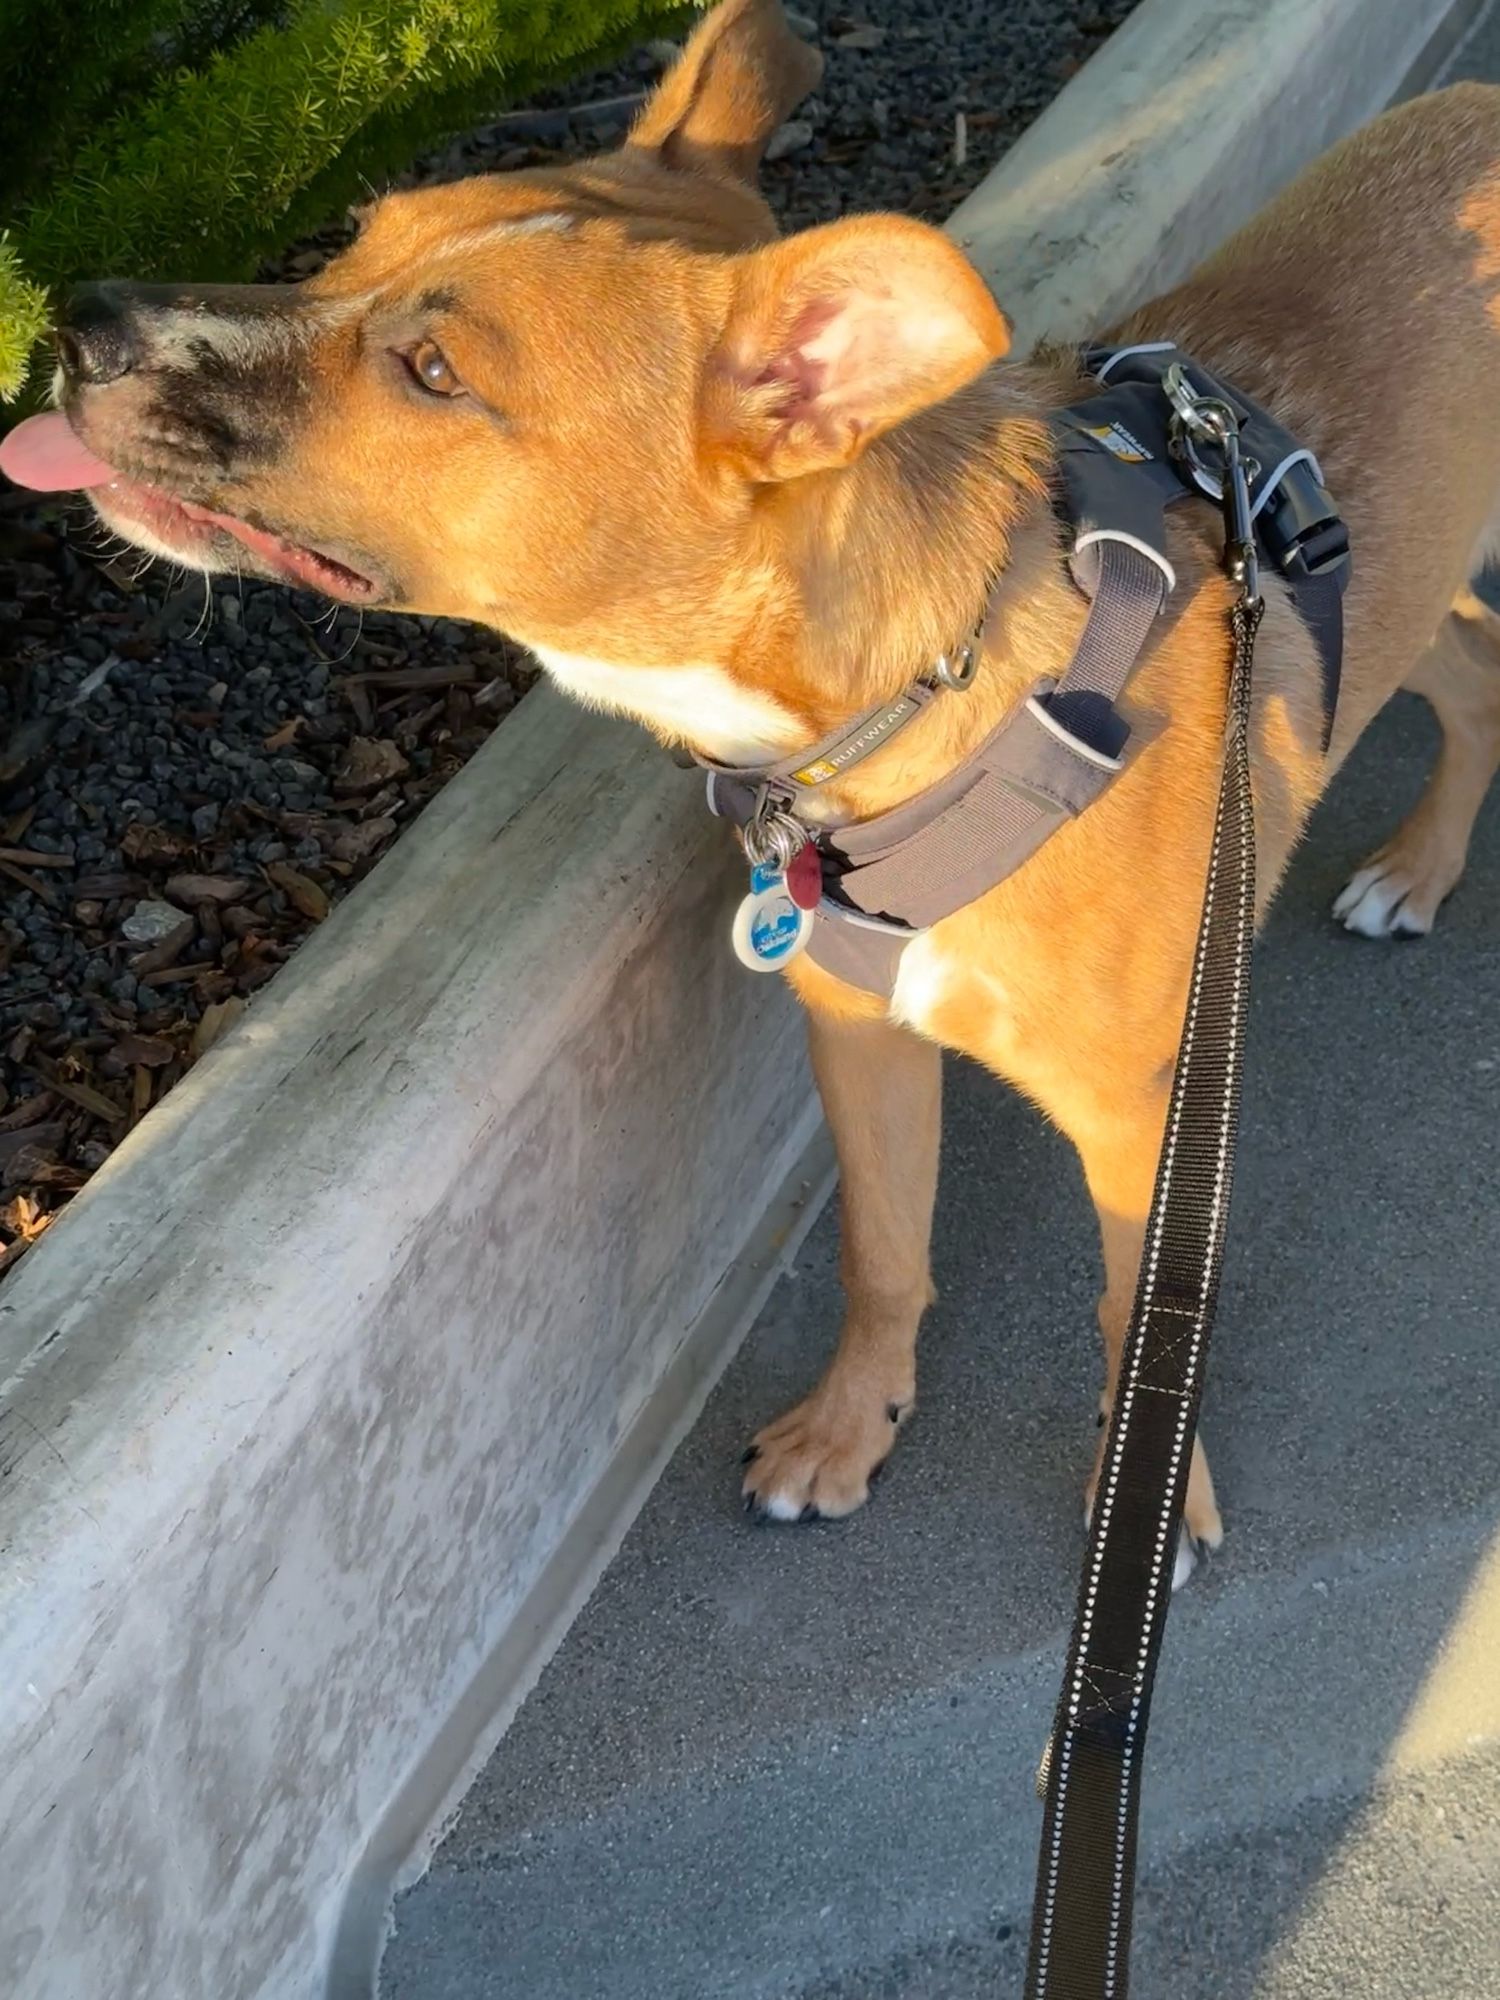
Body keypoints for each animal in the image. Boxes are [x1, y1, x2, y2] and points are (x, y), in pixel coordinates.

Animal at [2, 0, 1500, 1576]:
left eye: (434, 373)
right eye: (351, 239)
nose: (79, 322)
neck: (929, 695)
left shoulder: (1143, 1114)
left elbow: (1131, 1317)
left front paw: (1151, 1500)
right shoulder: (859, 1034)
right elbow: (881, 1254)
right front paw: (851, 1429)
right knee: (1473, 663)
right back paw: (1420, 863)